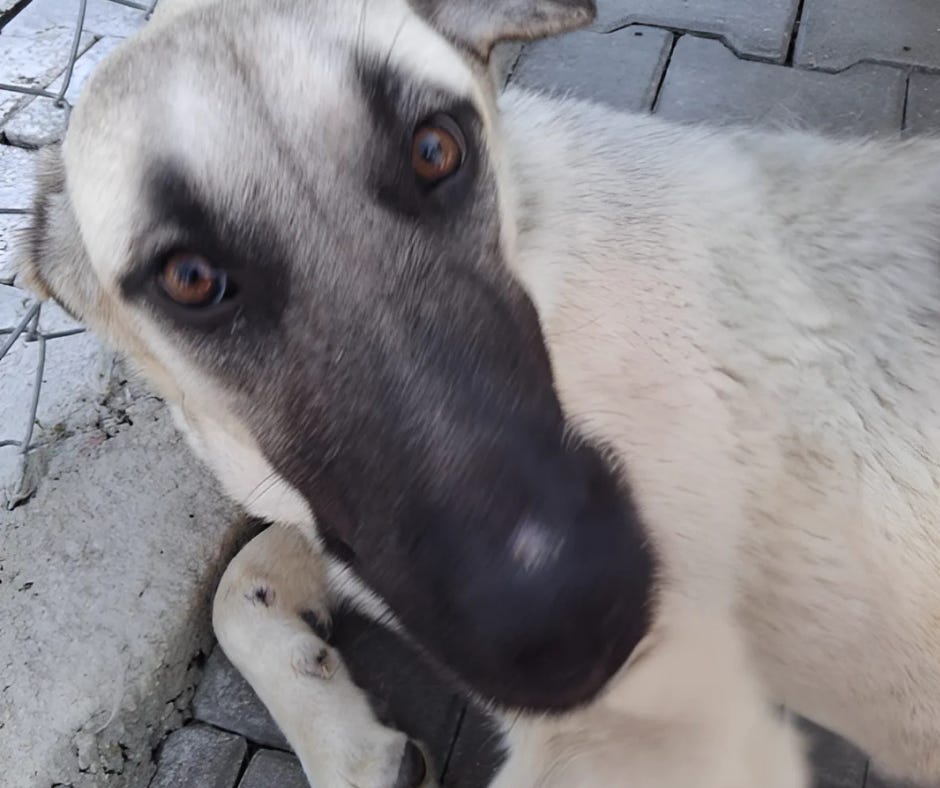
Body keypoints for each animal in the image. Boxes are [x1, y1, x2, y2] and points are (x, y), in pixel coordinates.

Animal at [16, 0, 940, 785]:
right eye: (191, 279)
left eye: (437, 149)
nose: (573, 619)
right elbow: (236, 583)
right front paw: (348, 742)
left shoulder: (670, 734)